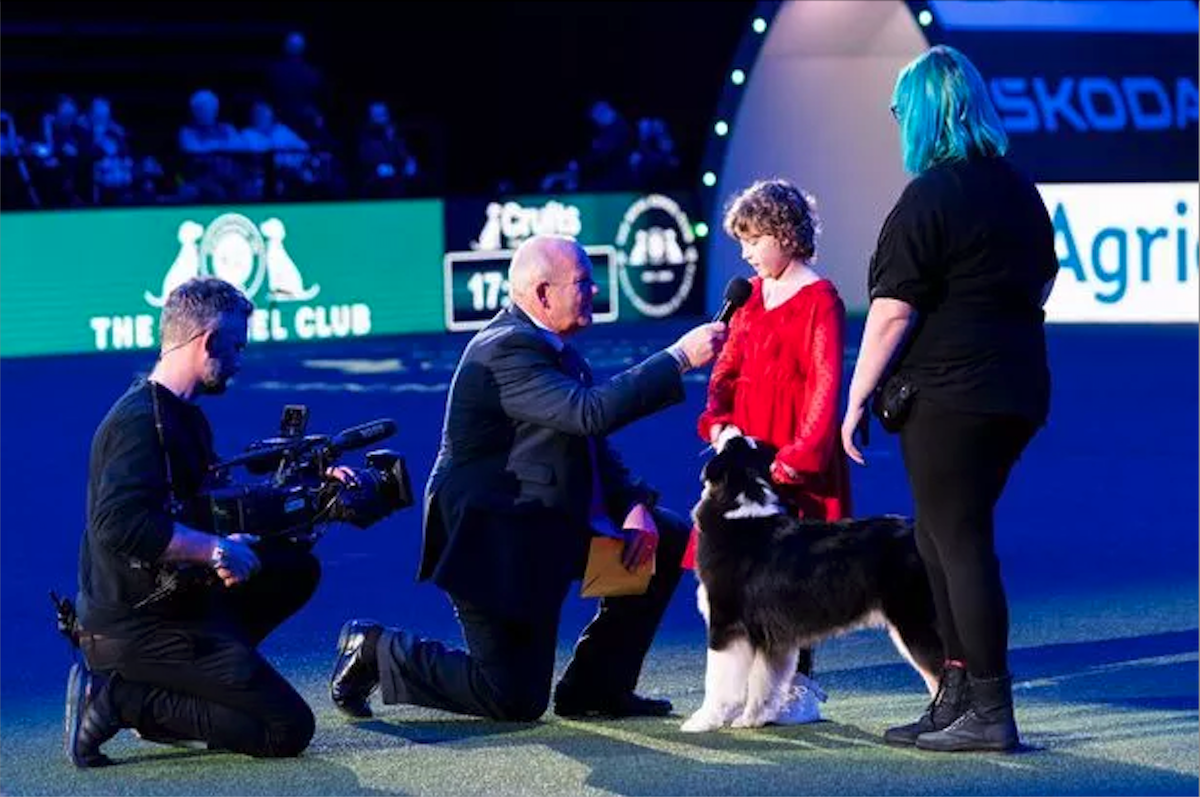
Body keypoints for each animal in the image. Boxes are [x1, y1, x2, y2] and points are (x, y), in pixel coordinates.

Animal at [681, 432, 940, 729]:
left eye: (733, 443)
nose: (728, 429)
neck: (737, 507)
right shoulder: (772, 638)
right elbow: (763, 682)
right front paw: (751, 719)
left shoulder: (726, 624)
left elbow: (717, 679)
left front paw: (702, 720)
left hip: (915, 624)